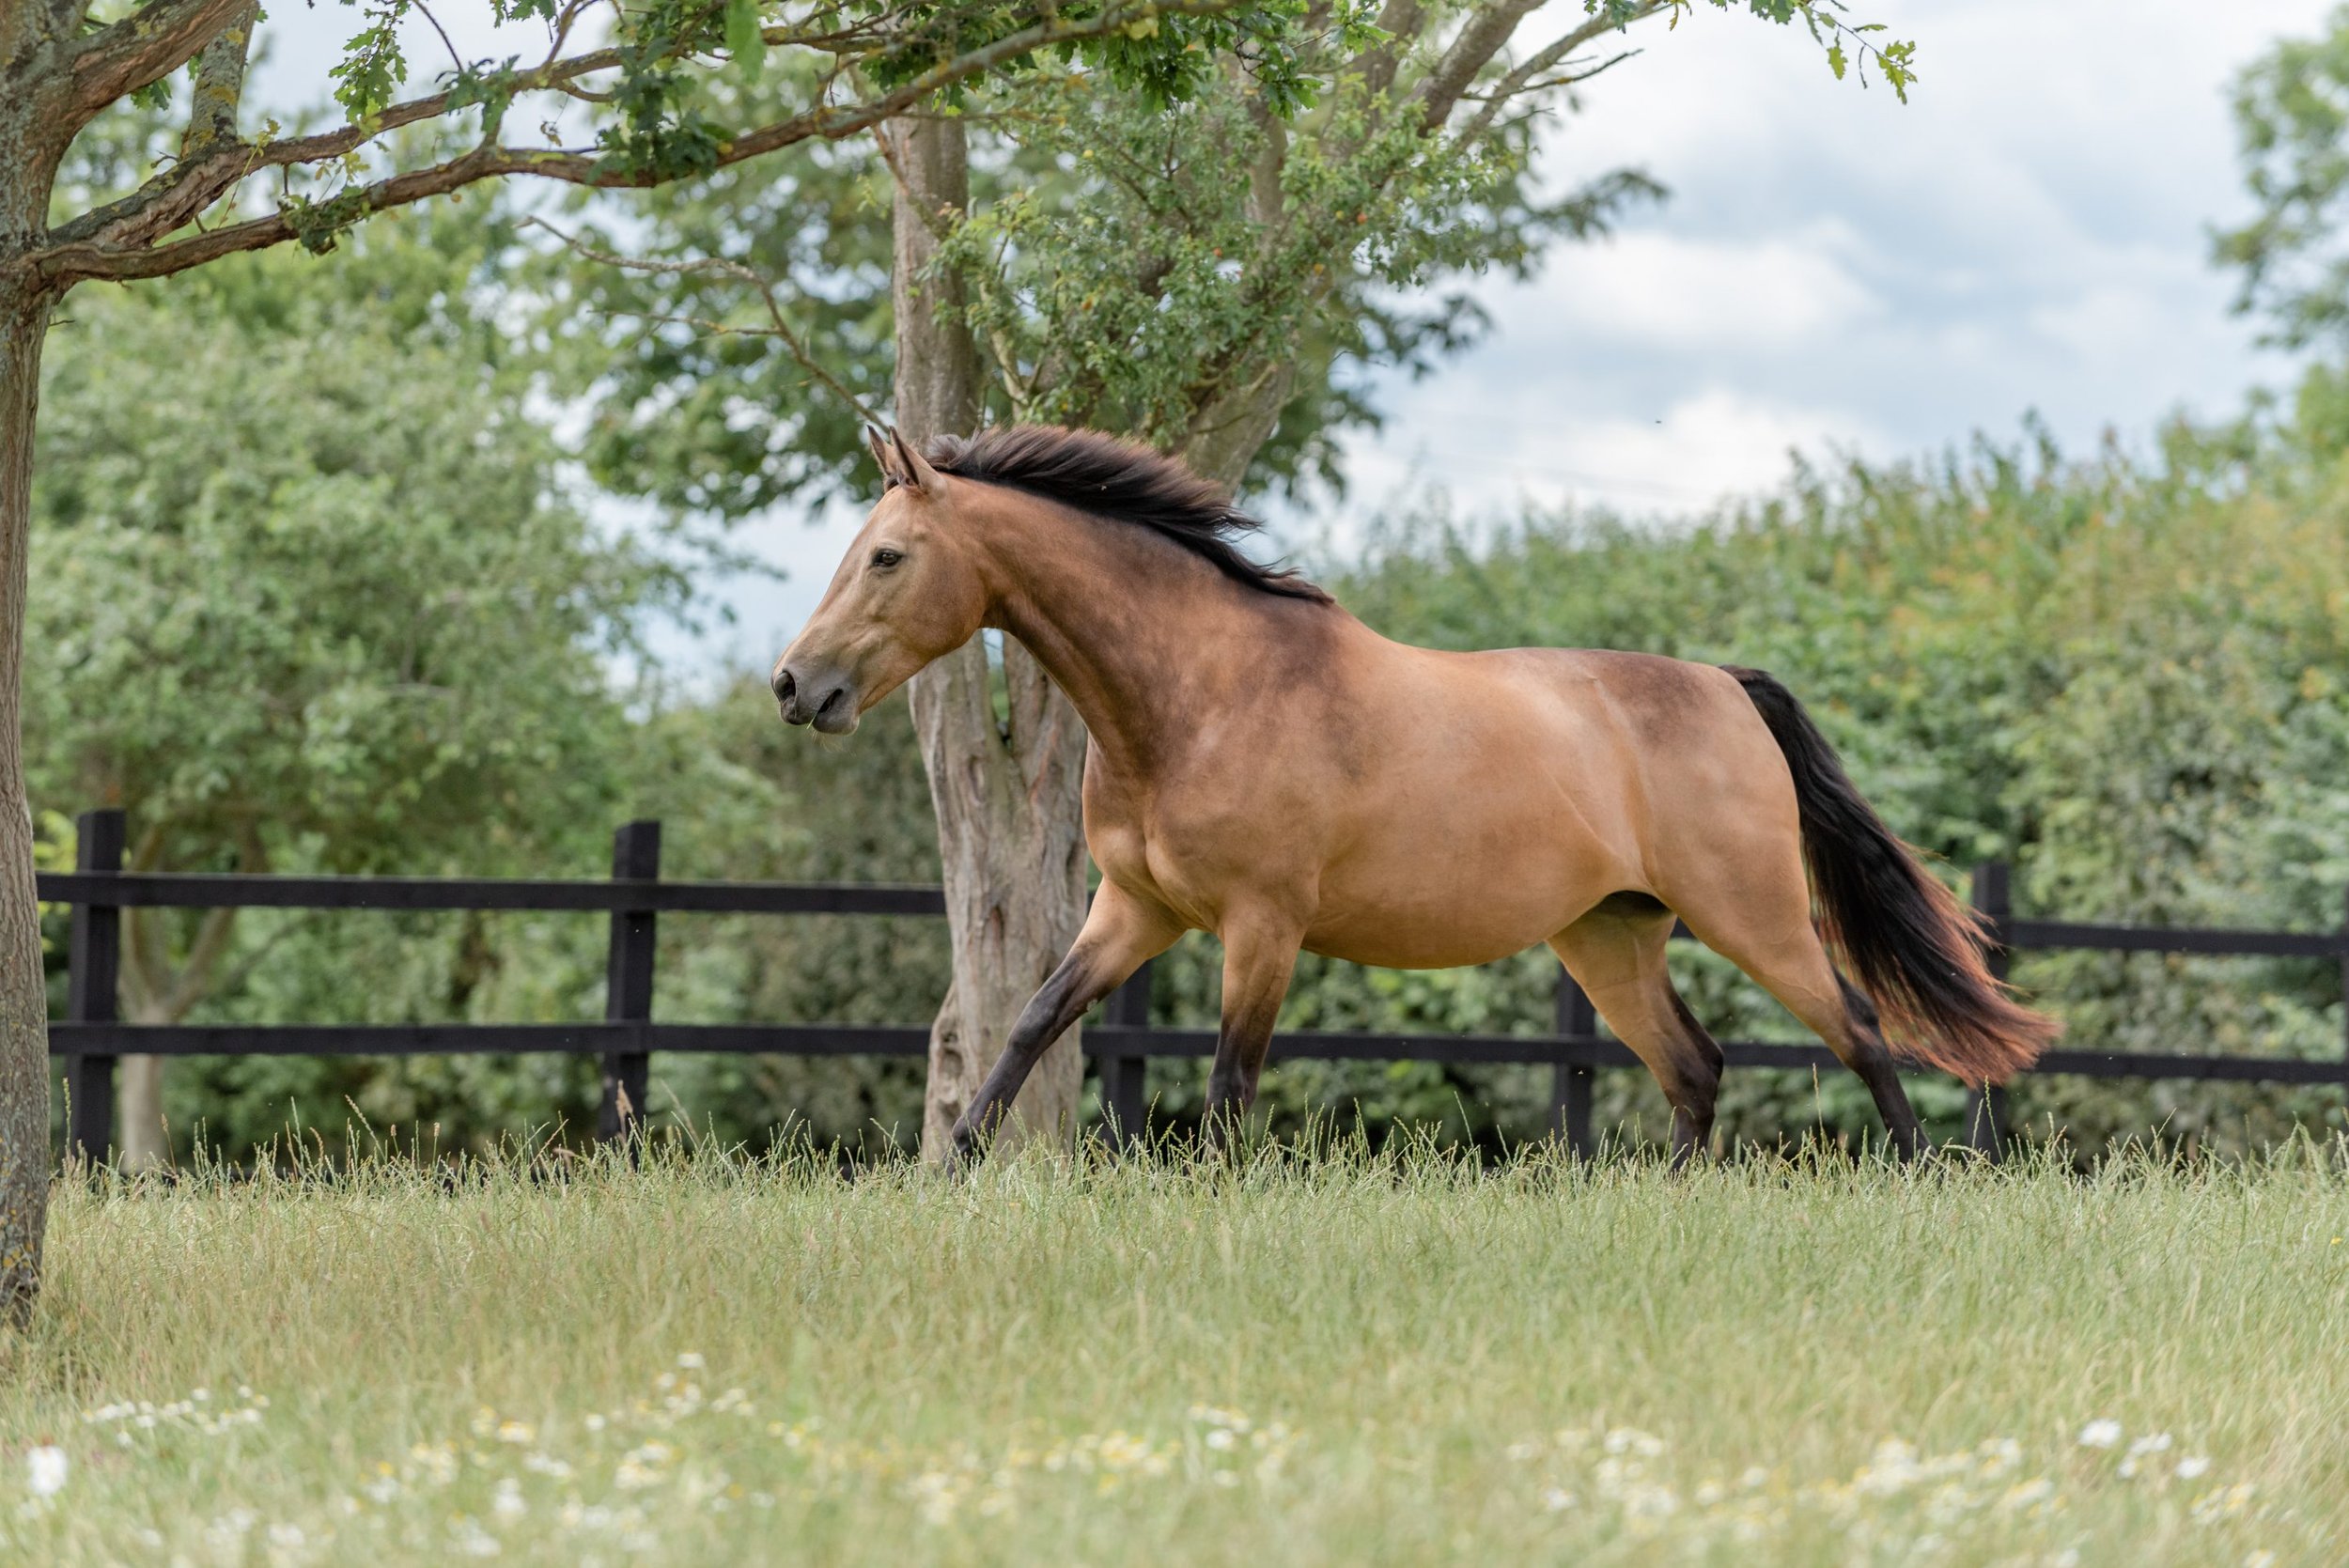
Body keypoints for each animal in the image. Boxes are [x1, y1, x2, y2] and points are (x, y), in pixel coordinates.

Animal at [771, 425, 2059, 1165]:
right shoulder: (1132, 909)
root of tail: (1725, 687)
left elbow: (1230, 1081)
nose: (795, 684)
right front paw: (951, 1169)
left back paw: (1919, 1181)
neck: (1197, 693)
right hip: (1609, 936)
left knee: (1859, 1034)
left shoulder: (1262, 924)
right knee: (1694, 1068)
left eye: (886, 556)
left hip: (1755, 915)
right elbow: (1033, 1021)